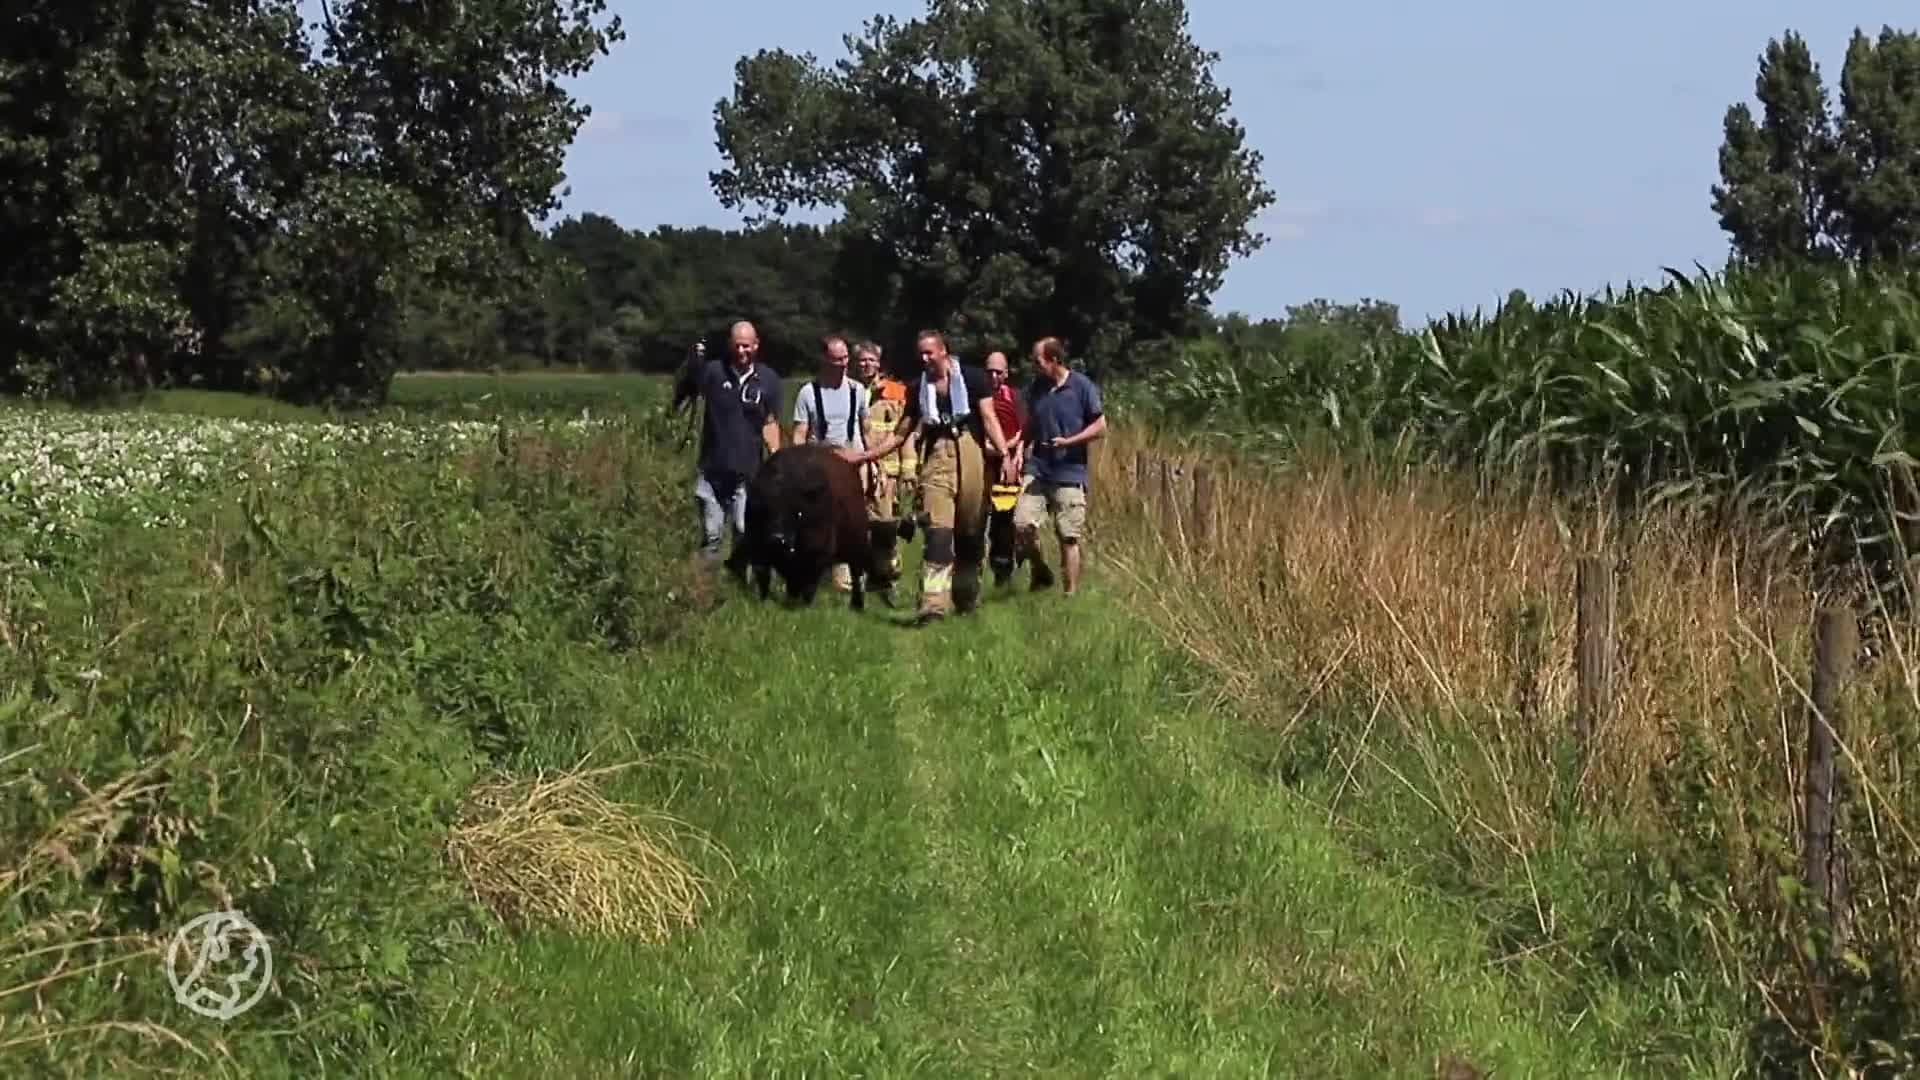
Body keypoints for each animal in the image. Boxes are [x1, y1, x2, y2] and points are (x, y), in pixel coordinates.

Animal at [742, 443, 915, 610]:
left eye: (797, 512)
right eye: (764, 509)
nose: (777, 538)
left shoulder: (817, 553)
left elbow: (809, 583)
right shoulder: (757, 548)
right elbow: (765, 577)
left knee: (855, 574)